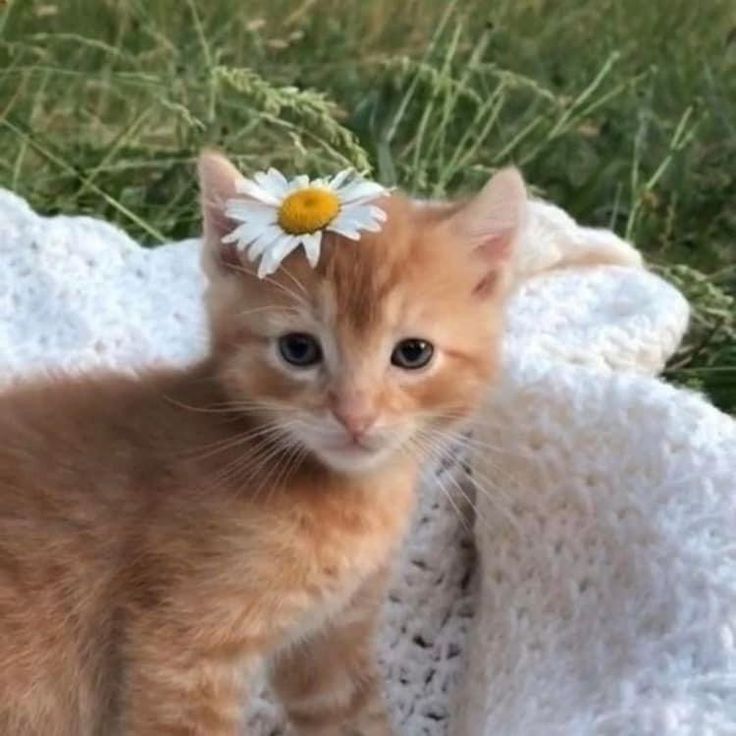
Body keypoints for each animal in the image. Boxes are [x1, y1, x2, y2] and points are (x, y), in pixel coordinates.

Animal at [0, 151, 528, 736]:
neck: (348, 501)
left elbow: (356, 719)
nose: (355, 416)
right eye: (298, 349)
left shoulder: (330, 641)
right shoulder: (180, 652)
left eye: (413, 353)